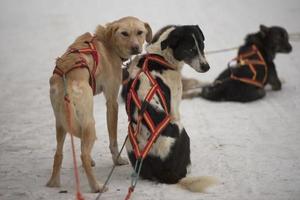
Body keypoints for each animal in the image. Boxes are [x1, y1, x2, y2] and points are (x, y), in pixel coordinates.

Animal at [47, 16, 152, 192]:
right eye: (124, 33)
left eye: (140, 32)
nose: (136, 48)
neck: (108, 41)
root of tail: (66, 77)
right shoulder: (112, 103)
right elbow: (113, 140)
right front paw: (117, 160)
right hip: (90, 123)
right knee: (83, 154)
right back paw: (96, 186)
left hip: (61, 123)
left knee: (59, 153)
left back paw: (53, 182)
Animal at [123, 25, 216, 192]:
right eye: (190, 49)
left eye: (202, 46)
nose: (206, 67)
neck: (161, 57)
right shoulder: (174, 108)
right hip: (181, 130)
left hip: (129, 141)